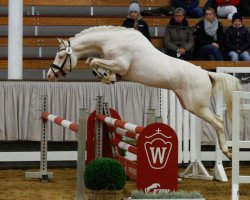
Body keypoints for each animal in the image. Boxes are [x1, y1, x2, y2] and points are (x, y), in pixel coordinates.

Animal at [47, 25, 241, 159]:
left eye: (61, 56)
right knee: (217, 121)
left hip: (197, 107)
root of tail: (205, 73)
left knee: (218, 122)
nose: (50, 75)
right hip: (189, 104)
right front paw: (107, 77)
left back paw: (227, 152)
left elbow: (93, 61)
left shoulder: (120, 64)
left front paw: (106, 76)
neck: (112, 40)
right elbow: (92, 61)